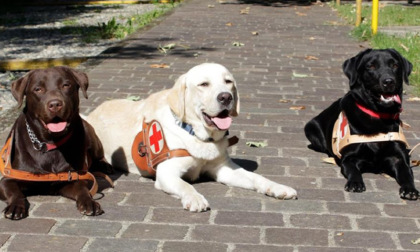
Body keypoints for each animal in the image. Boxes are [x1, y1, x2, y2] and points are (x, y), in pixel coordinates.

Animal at [0, 66, 113, 219]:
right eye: (38, 89)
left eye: (66, 85)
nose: (55, 104)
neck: (49, 143)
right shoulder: (8, 178)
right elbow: (15, 193)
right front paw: (16, 206)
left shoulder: (73, 176)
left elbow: (82, 189)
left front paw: (89, 202)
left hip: (89, 133)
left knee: (99, 155)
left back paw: (105, 165)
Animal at [85, 62, 296, 211]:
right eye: (204, 84)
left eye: (228, 82)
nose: (226, 97)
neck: (197, 135)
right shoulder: (167, 172)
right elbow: (185, 185)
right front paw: (195, 198)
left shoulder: (224, 169)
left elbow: (256, 177)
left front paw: (277, 187)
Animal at [304, 48, 418, 200]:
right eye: (371, 66)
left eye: (395, 65)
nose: (389, 81)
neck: (378, 116)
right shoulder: (349, 158)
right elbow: (354, 171)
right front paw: (355, 183)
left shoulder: (399, 158)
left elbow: (407, 175)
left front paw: (410, 189)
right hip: (310, 128)